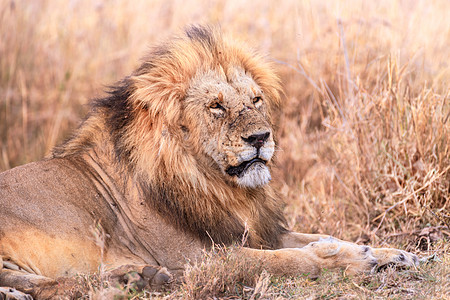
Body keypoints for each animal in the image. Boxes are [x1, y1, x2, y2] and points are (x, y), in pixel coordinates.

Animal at [0, 26, 418, 300]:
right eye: (216, 106)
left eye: (255, 100)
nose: (260, 137)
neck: (216, 185)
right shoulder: (196, 257)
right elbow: (286, 261)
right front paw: (344, 260)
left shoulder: (252, 230)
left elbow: (316, 237)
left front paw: (392, 254)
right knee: (54, 286)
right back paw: (139, 278)